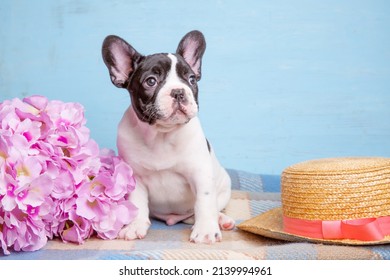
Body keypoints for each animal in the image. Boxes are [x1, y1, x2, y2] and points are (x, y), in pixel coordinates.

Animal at [102, 29, 233, 242]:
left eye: (192, 80)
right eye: (151, 81)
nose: (178, 91)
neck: (161, 135)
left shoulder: (200, 174)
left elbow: (204, 202)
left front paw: (206, 230)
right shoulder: (135, 177)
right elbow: (137, 203)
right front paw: (135, 225)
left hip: (223, 188)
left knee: (208, 208)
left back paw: (221, 219)